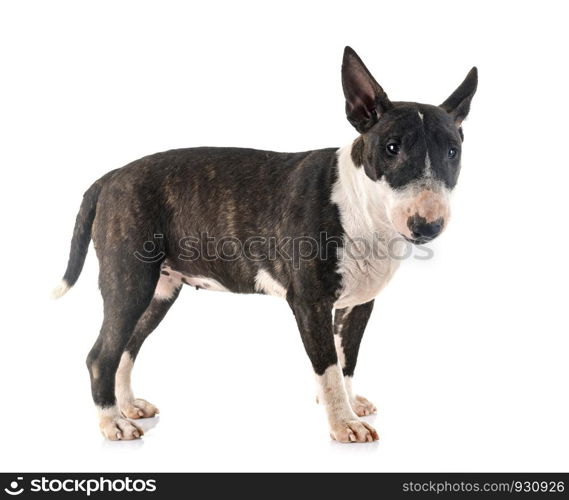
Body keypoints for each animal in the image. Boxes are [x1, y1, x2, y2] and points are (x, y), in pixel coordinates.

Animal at [54, 47, 474, 442]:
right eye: (391, 147)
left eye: (453, 152)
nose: (427, 225)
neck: (361, 205)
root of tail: (110, 177)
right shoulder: (309, 302)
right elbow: (328, 368)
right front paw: (343, 424)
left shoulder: (358, 304)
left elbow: (346, 360)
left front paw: (351, 404)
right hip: (131, 281)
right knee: (101, 355)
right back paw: (112, 423)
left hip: (161, 289)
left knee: (127, 346)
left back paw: (128, 407)